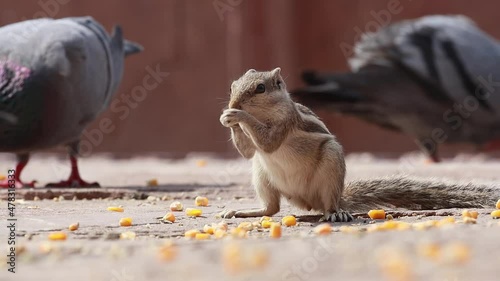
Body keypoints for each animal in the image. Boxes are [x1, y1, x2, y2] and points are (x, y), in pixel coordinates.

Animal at [219, 68, 500, 221]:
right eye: (232, 86)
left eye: (260, 88)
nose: (233, 102)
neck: (268, 113)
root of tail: (306, 202)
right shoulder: (254, 153)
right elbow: (249, 152)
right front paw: (228, 118)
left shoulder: (286, 123)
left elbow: (268, 143)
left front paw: (239, 116)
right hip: (261, 173)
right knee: (271, 209)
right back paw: (246, 212)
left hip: (331, 163)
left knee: (327, 205)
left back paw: (336, 213)